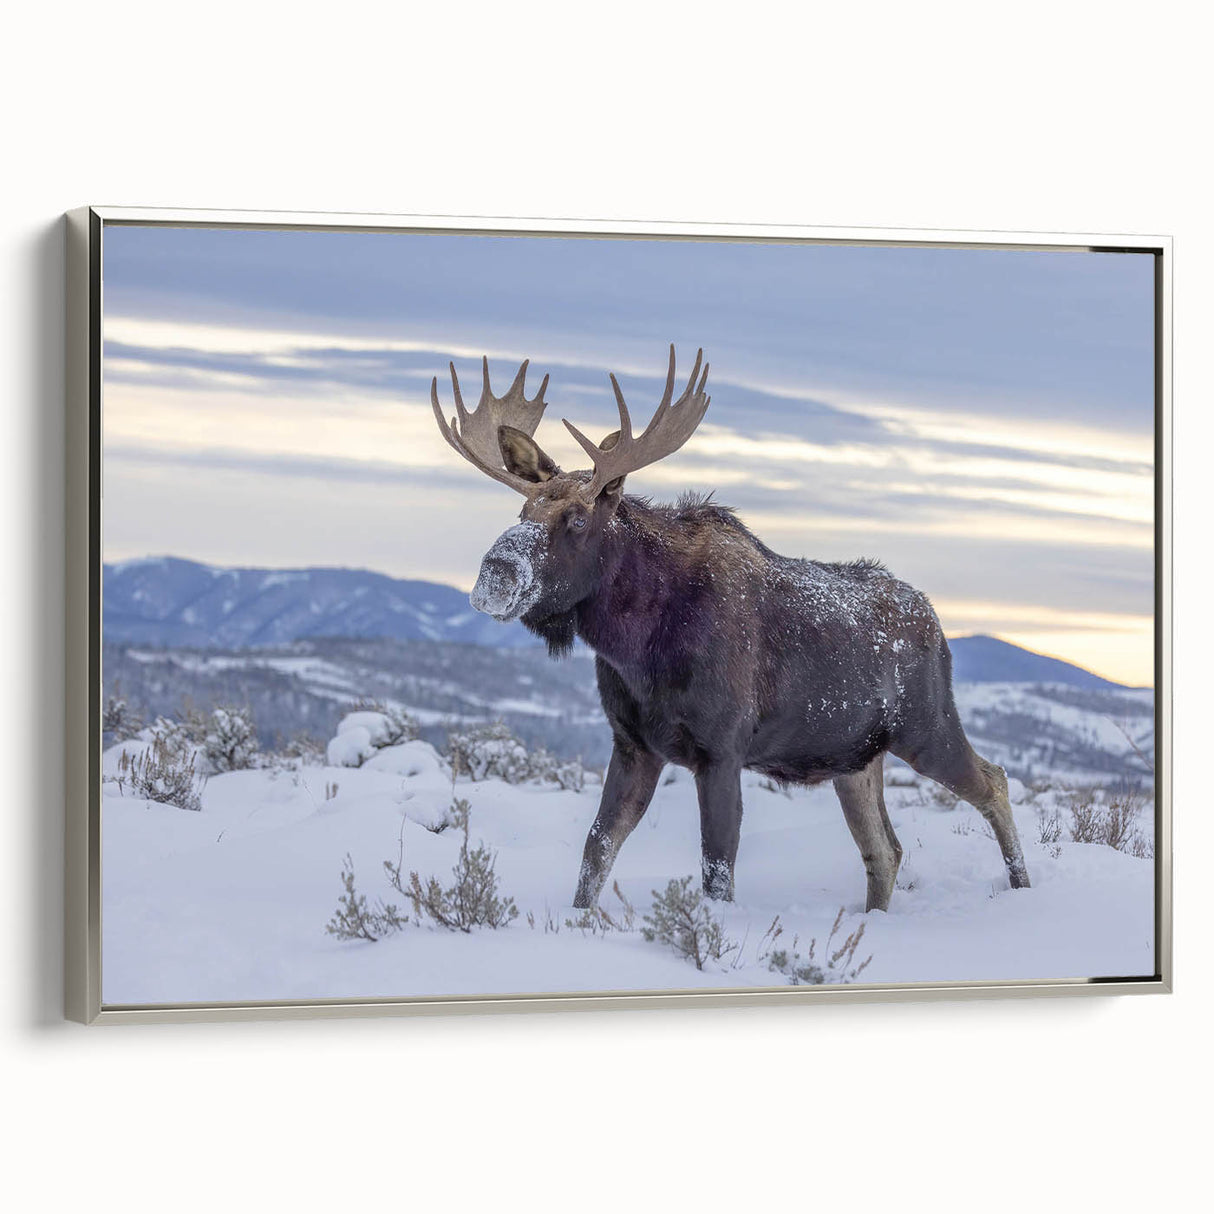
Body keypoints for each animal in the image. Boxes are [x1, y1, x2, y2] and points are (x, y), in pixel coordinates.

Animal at [429, 346, 1030, 912]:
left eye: (576, 519)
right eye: (522, 512)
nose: (494, 574)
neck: (637, 644)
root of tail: (936, 623)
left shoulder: (720, 751)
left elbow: (717, 870)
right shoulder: (633, 745)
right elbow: (596, 851)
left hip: (927, 727)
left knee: (994, 782)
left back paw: (1023, 888)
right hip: (855, 759)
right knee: (886, 849)